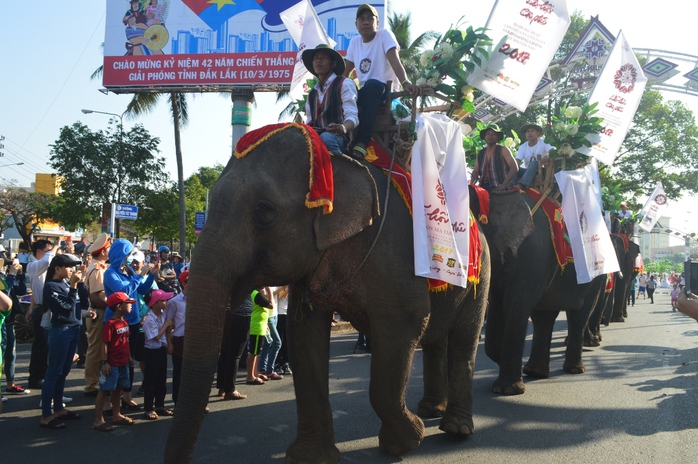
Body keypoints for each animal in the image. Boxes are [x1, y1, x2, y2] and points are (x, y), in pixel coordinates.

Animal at [163, 124, 490, 464]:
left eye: (264, 210)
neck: (335, 162)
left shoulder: (393, 251)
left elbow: (408, 323)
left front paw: (405, 443)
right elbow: (303, 336)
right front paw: (310, 457)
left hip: (481, 275)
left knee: (463, 340)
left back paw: (455, 428)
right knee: (437, 337)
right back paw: (430, 410)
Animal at [470, 189, 608, 396]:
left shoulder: (533, 256)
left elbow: (516, 304)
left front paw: (507, 390)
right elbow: (498, 304)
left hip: (596, 274)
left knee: (580, 313)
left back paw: (574, 369)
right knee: (544, 316)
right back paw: (535, 372)